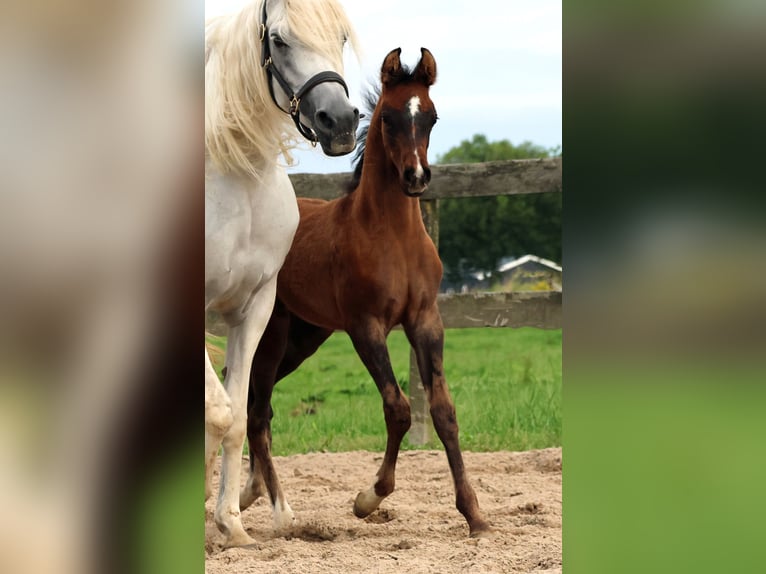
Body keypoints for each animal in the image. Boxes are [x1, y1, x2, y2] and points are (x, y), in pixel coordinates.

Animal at [204, 0, 360, 548]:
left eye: (341, 37)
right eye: (278, 40)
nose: (338, 121)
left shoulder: (254, 310)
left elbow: (234, 418)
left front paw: (231, 525)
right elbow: (220, 411)